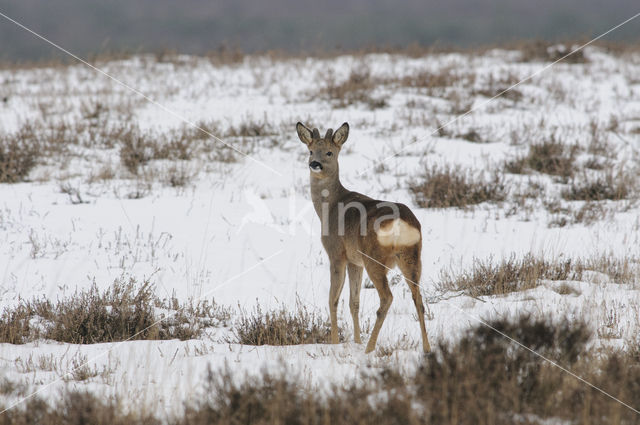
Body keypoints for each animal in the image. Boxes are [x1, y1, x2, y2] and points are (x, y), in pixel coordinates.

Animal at [298, 121, 432, 352]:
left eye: (329, 152)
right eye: (310, 150)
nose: (314, 164)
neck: (329, 207)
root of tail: (400, 222)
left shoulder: (336, 252)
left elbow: (333, 299)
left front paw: (336, 342)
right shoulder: (355, 261)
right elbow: (354, 302)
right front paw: (356, 341)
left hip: (374, 258)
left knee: (387, 297)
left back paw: (370, 348)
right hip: (412, 256)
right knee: (419, 299)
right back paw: (427, 348)